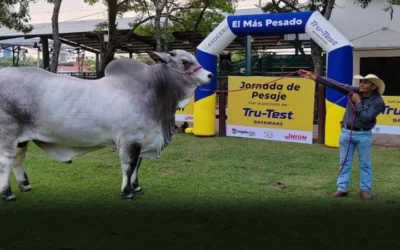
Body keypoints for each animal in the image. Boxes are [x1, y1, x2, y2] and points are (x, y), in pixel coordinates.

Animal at [0, 48, 214, 201]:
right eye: (185, 62)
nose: (210, 75)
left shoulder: (142, 139)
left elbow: (138, 165)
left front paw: (137, 187)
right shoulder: (130, 139)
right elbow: (129, 165)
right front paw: (127, 192)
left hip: (22, 138)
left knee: (18, 159)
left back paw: (25, 185)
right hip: (8, 135)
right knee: (6, 162)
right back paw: (7, 194)